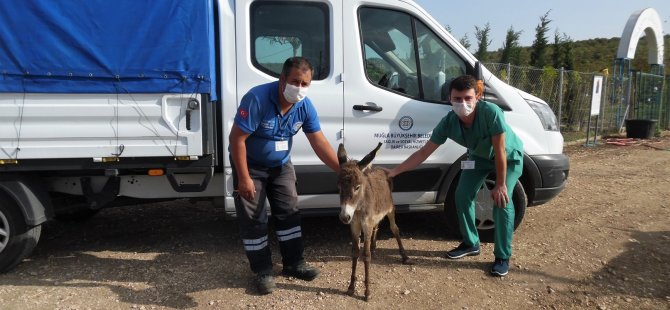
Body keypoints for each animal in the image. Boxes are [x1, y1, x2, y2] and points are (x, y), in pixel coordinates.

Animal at [338, 143, 412, 300]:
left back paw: (404, 256)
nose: (344, 217)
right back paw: (373, 245)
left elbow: (366, 256)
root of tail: (381, 168)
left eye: (357, 187)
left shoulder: (366, 224)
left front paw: (367, 292)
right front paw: (351, 287)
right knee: (377, 226)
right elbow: (355, 252)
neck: (358, 208)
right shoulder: (355, 225)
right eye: (339, 187)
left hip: (390, 209)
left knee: (395, 229)